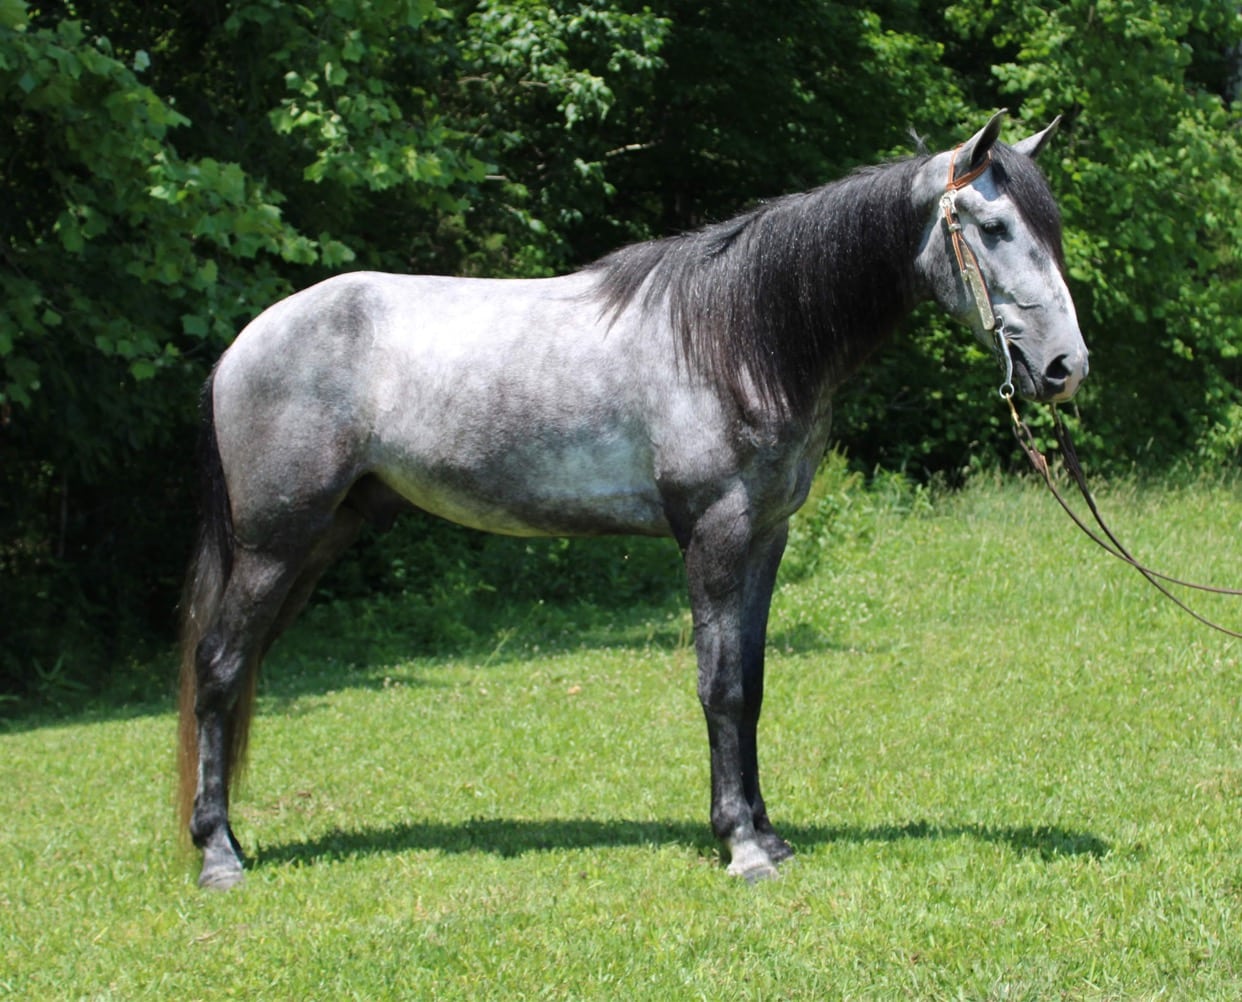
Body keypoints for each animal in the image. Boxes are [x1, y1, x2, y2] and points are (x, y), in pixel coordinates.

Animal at [177, 111, 1088, 888]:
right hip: (272, 544)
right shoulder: (715, 534)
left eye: (1049, 230)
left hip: (321, 536)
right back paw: (219, 855)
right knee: (219, 669)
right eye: (993, 228)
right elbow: (719, 686)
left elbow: (752, 682)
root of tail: (245, 343)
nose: (1065, 368)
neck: (741, 338)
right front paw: (741, 845)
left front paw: (768, 834)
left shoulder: (765, 538)